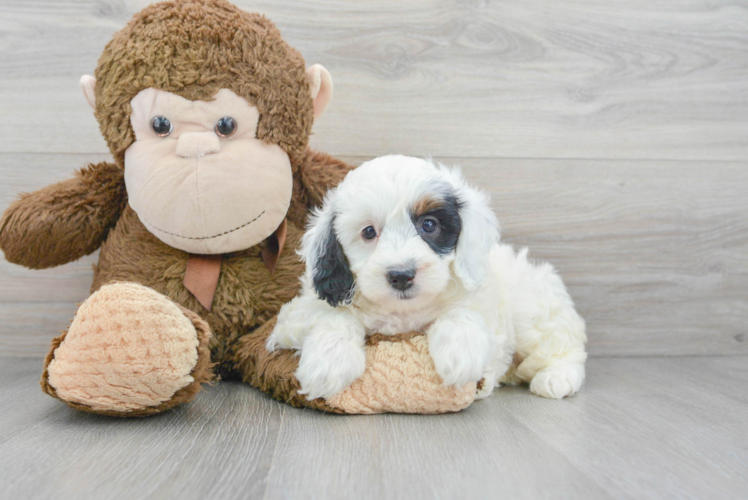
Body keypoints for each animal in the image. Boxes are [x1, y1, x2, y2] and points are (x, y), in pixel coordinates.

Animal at [266, 156, 588, 402]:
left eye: (429, 225)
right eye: (369, 232)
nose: (401, 275)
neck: (402, 312)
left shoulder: (483, 300)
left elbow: (462, 313)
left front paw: (460, 353)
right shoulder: (297, 315)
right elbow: (333, 315)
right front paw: (328, 363)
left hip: (531, 305)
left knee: (562, 344)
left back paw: (556, 377)